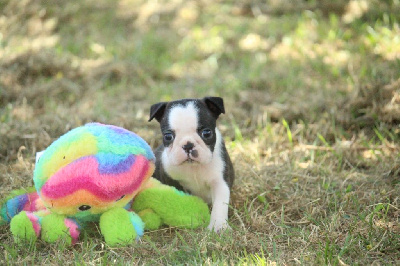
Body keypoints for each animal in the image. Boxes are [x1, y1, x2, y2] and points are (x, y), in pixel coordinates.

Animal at [148, 96, 233, 232]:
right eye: (168, 136)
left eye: (207, 133)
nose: (188, 145)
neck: (194, 167)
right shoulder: (171, 180)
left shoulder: (220, 181)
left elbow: (220, 204)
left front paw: (219, 226)